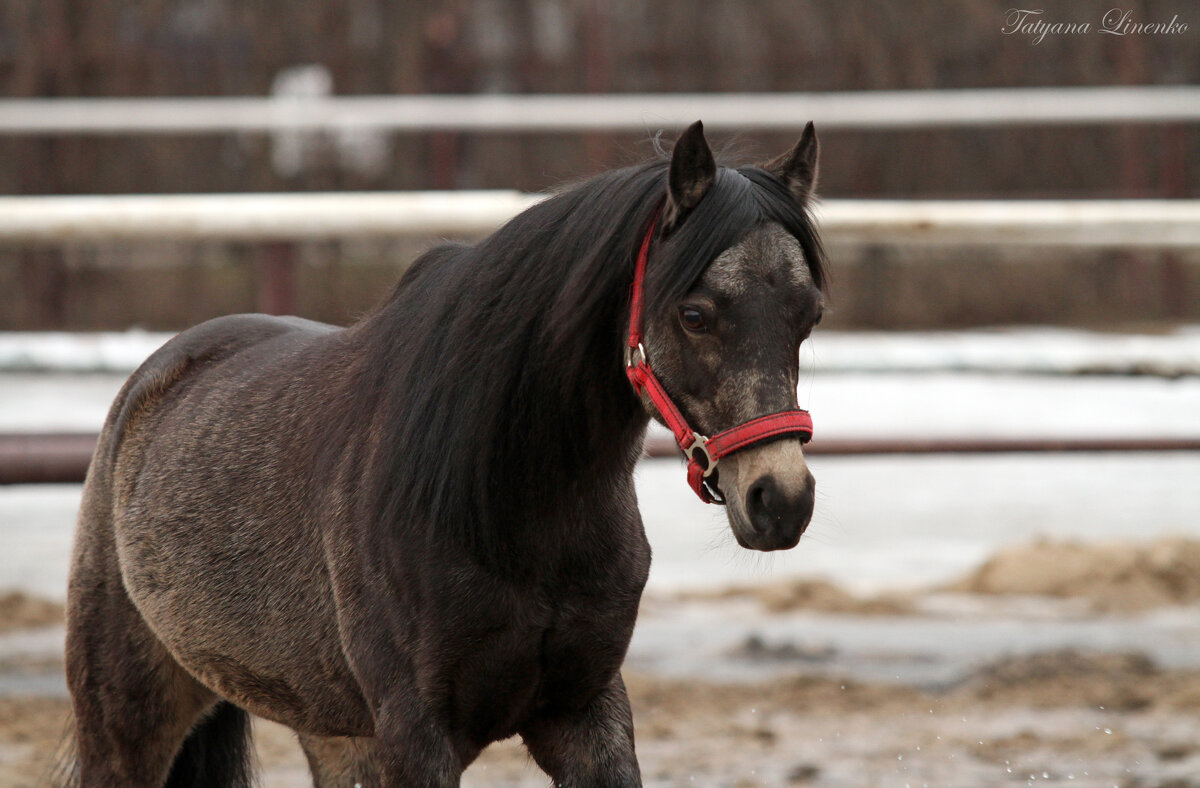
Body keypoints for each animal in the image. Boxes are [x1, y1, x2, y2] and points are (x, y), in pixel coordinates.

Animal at [63, 119, 825, 782]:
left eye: (810, 315)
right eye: (694, 315)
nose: (780, 500)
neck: (511, 505)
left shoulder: (586, 711)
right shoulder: (416, 735)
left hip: (330, 732)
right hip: (126, 719)